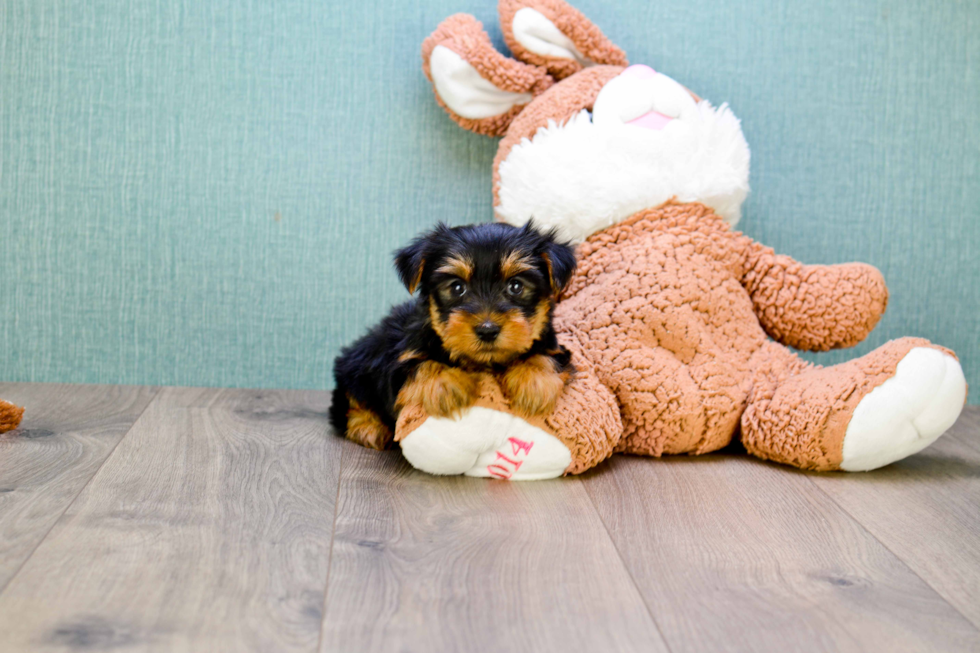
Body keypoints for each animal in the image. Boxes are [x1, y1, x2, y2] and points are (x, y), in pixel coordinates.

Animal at [332, 222, 576, 450]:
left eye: (516, 286)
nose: (487, 329)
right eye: (457, 287)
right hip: (359, 364)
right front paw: (445, 384)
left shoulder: (556, 348)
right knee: (350, 399)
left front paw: (533, 382)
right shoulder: (399, 360)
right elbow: (419, 364)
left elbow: (544, 357)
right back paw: (367, 427)